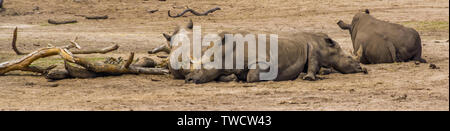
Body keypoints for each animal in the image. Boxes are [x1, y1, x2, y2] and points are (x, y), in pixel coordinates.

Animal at [162, 20, 366, 84]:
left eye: (203, 67)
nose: (188, 79)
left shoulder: (265, 62)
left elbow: (252, 76)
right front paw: (235, 77)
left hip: (311, 44)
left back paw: (308, 78)